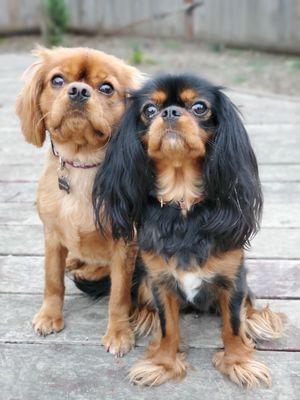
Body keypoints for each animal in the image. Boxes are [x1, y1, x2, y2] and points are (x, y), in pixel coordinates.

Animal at [15, 46, 142, 356]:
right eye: (58, 80)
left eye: (106, 88)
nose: (79, 91)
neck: (82, 165)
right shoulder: (51, 235)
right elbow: (52, 280)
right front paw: (49, 316)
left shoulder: (125, 244)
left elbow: (119, 294)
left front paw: (119, 333)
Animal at [92, 73, 284, 386]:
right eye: (149, 110)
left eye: (199, 107)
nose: (170, 112)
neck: (182, 203)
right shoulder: (159, 281)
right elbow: (168, 326)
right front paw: (162, 363)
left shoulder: (233, 280)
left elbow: (232, 325)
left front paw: (239, 362)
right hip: (144, 281)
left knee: (248, 308)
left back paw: (254, 322)